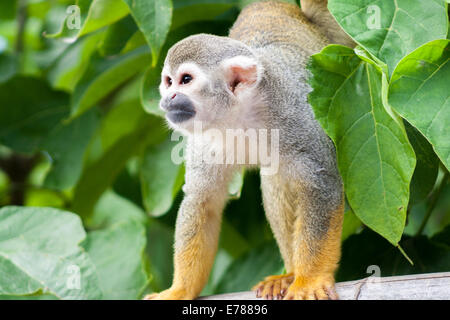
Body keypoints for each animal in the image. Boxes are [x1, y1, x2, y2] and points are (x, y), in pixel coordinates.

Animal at [146, 0, 354, 300]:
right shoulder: (204, 140)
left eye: (185, 80)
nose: (167, 98)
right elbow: (202, 201)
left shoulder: (299, 117)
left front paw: (310, 280)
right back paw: (289, 273)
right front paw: (180, 290)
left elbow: (321, 186)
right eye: (168, 81)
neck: (240, 116)